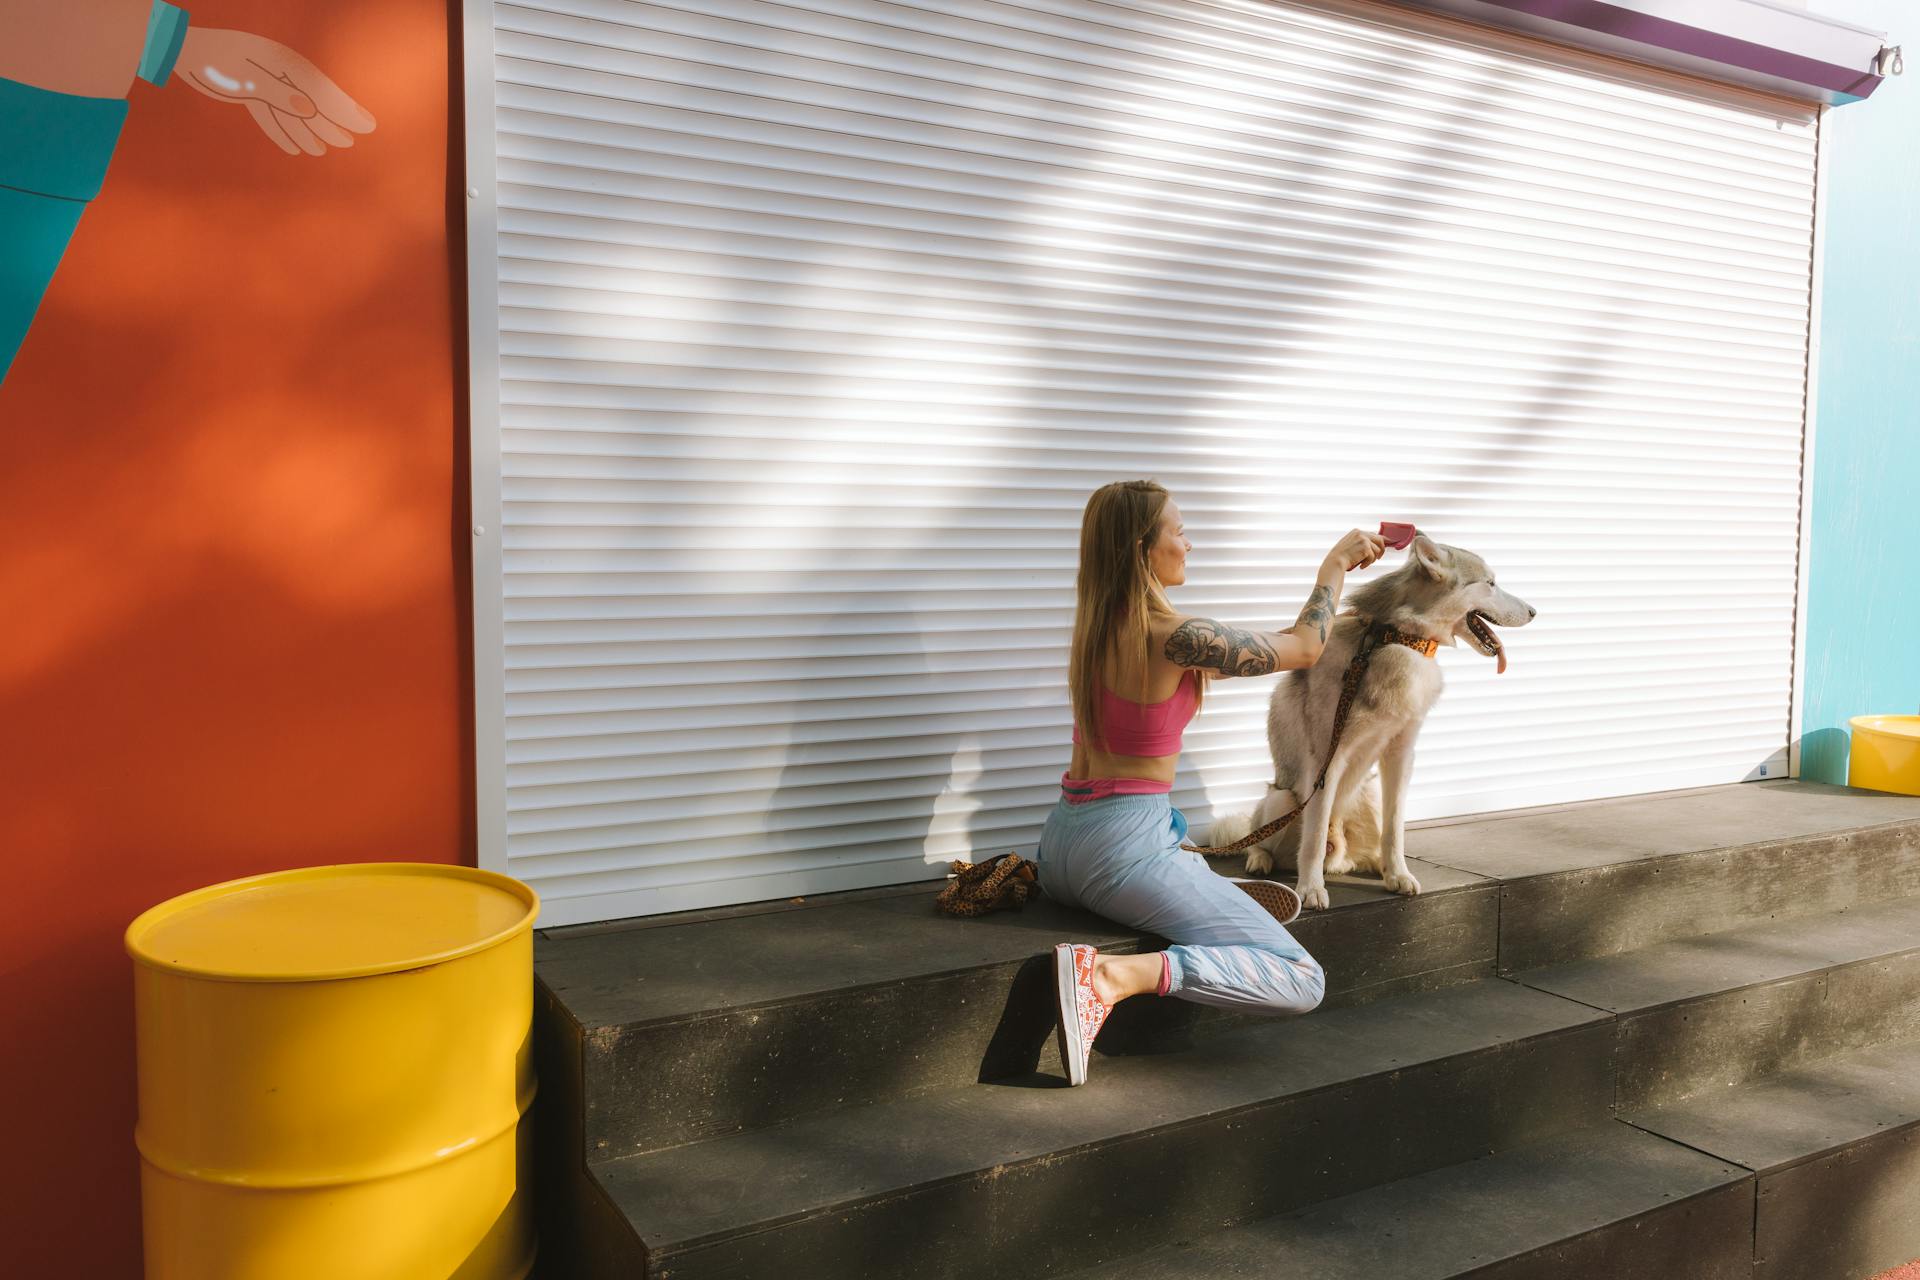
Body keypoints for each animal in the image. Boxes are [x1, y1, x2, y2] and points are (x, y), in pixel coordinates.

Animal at [1205, 537, 1536, 917]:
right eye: (1491, 583)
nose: (1534, 611)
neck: (1396, 638)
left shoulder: (1401, 754)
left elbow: (1395, 829)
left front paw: (1398, 874)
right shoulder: (1326, 760)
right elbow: (1313, 838)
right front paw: (1311, 889)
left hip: (1369, 793)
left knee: (1361, 848)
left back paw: (1375, 864)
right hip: (1282, 800)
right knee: (1263, 840)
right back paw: (1263, 860)